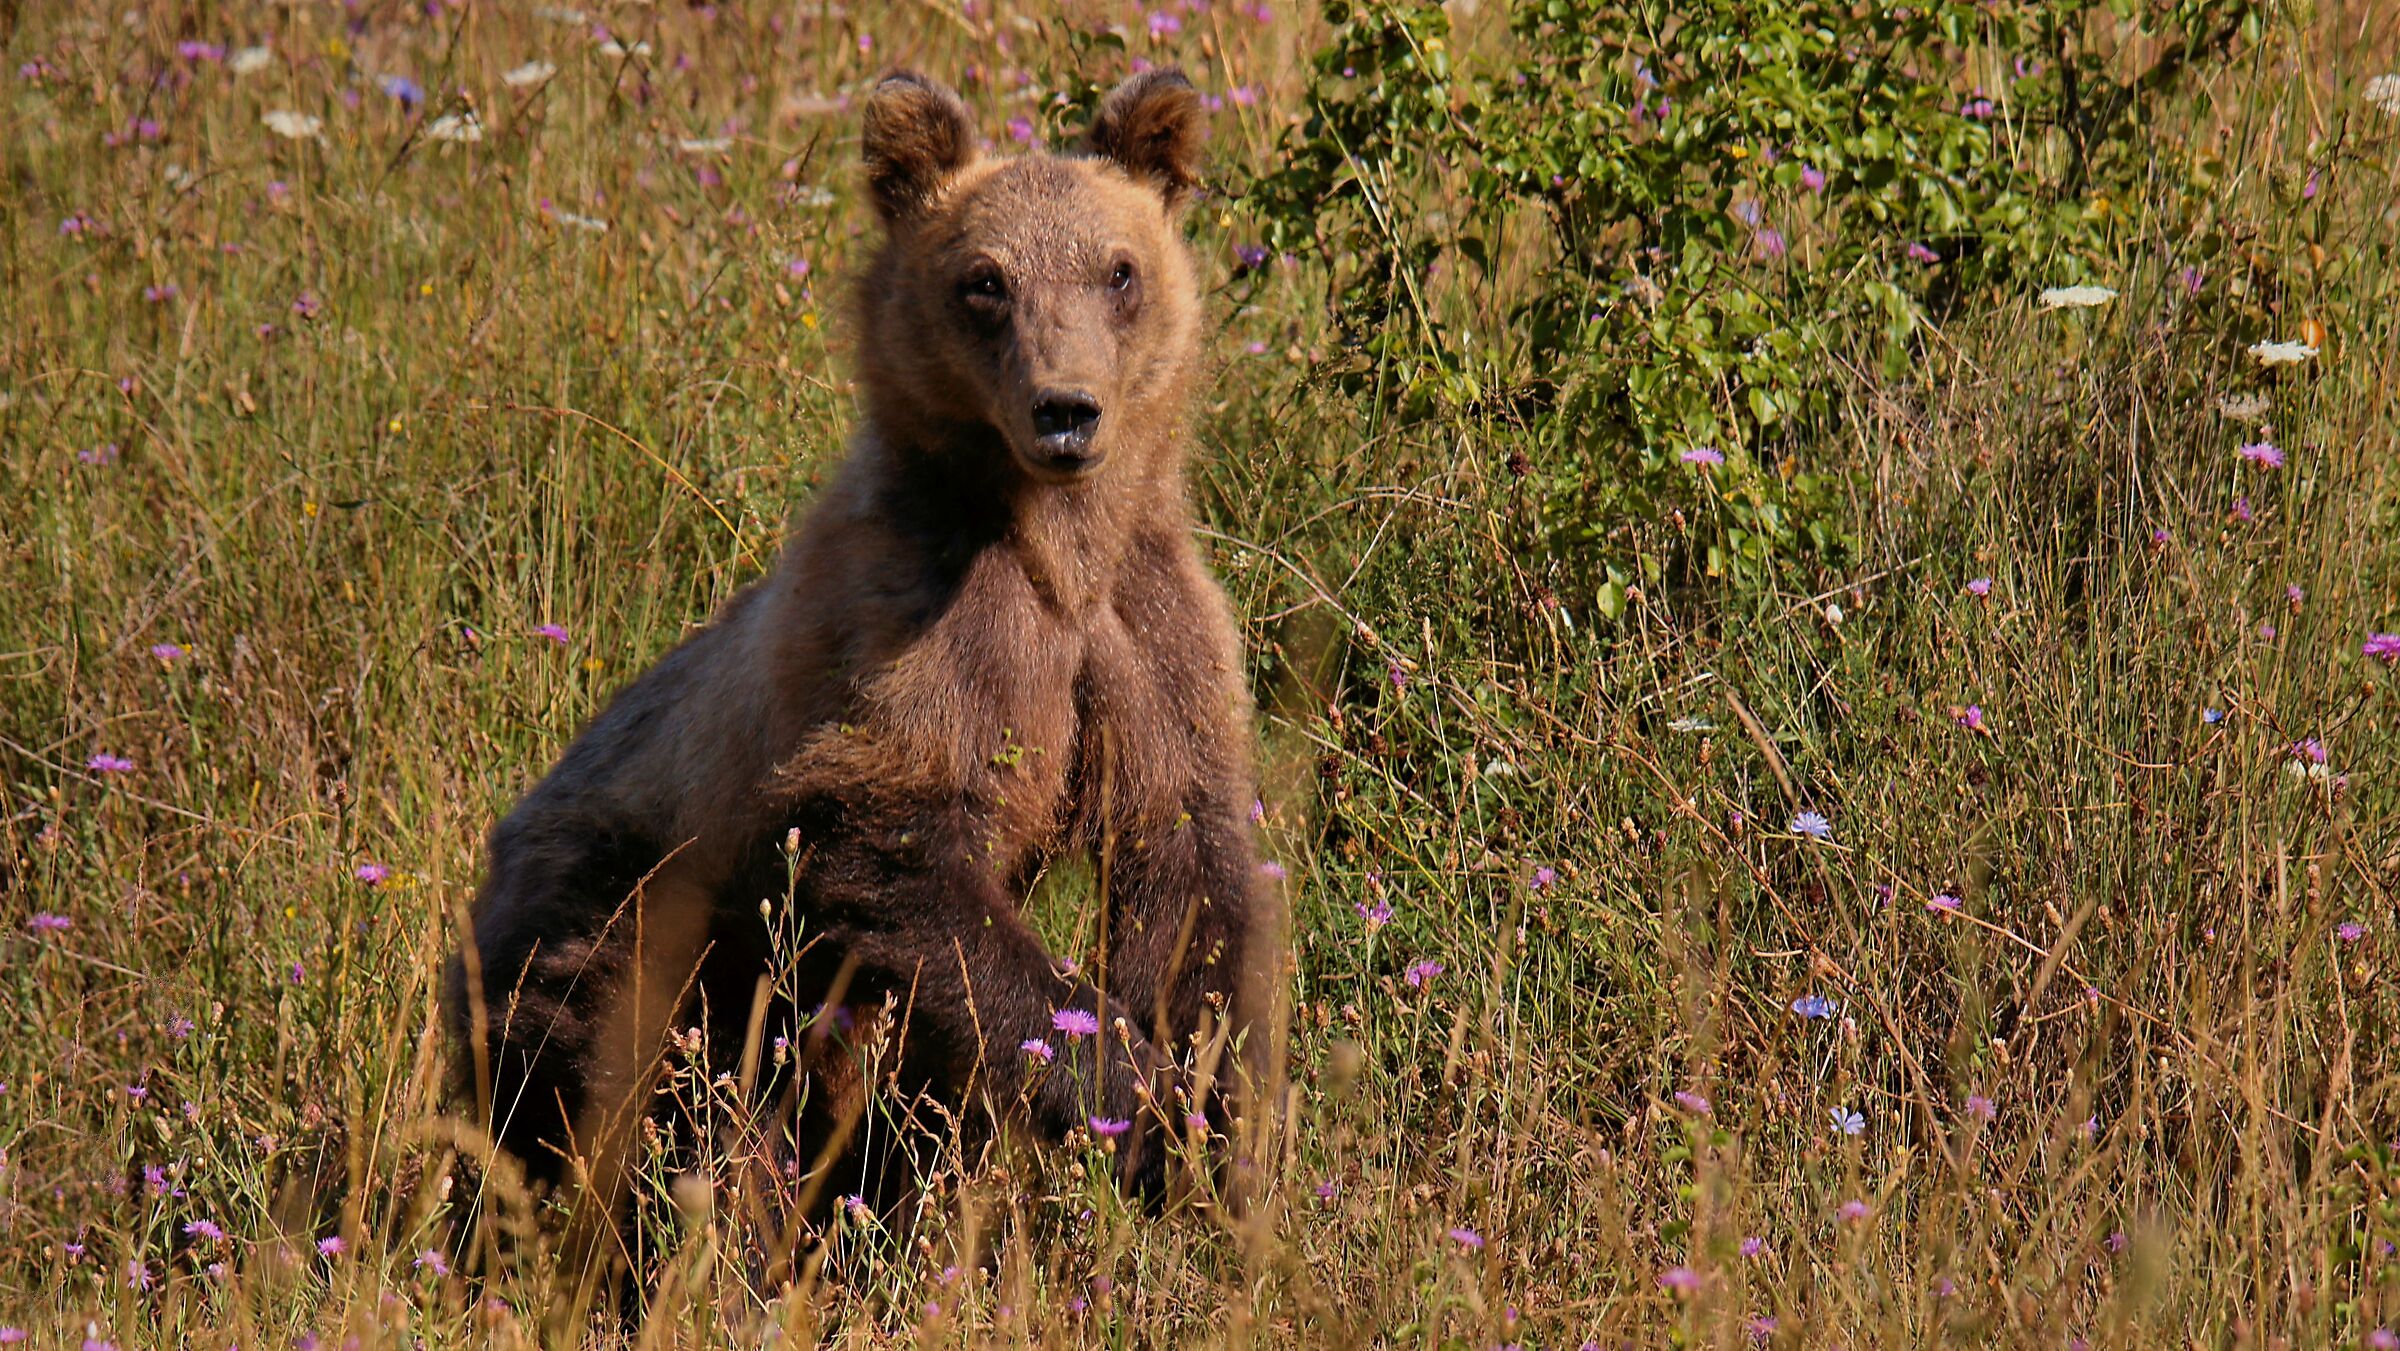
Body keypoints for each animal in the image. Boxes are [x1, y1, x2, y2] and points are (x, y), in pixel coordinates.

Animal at [444, 68, 1276, 1275]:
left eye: (1117, 269)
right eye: (985, 280)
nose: (1066, 409)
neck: (1053, 548)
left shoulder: (1149, 639)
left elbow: (1187, 870)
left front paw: (1209, 1130)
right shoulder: (913, 635)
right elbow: (891, 846)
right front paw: (1122, 1085)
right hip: (624, 923)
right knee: (635, 1106)